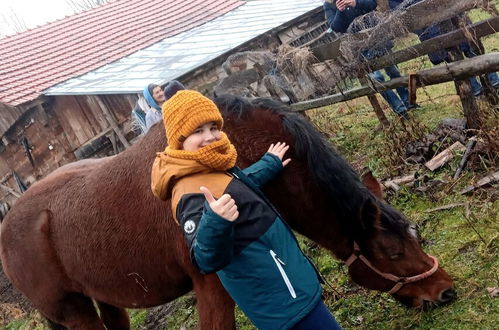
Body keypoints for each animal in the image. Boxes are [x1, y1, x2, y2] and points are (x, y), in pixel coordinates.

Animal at [0, 94, 454, 328]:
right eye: (393, 253)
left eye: (415, 236)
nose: (446, 291)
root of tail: (8, 223)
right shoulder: (212, 287)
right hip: (72, 310)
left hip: (106, 298)